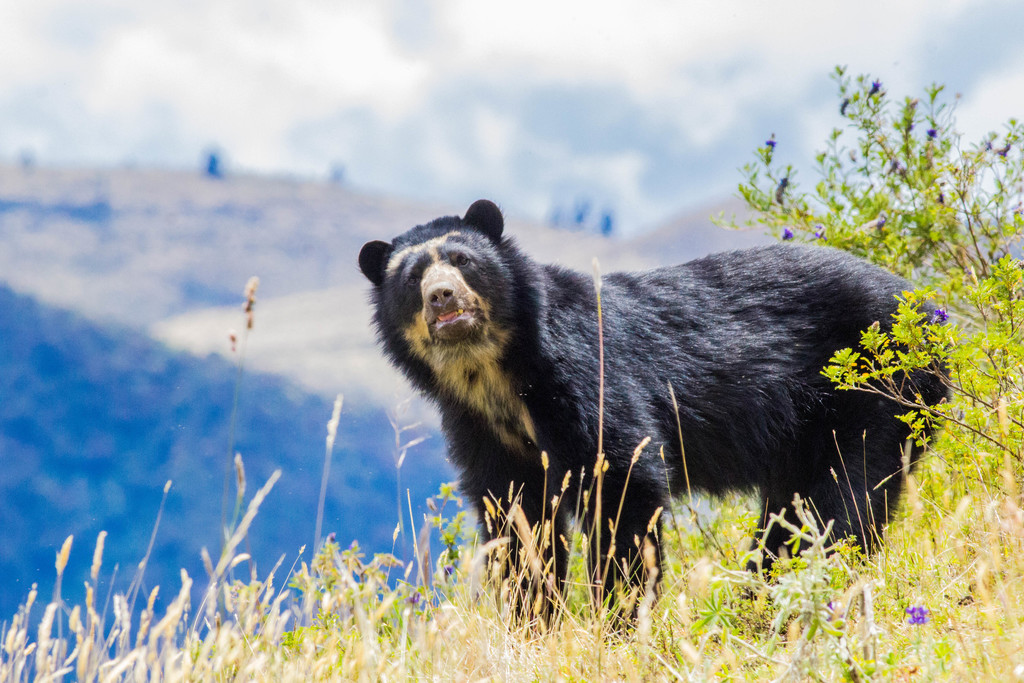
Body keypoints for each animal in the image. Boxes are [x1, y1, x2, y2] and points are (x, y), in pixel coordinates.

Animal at [358, 199, 947, 611]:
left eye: (463, 261)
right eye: (412, 277)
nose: (442, 297)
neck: (493, 371)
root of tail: (932, 314)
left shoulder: (585, 375)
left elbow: (623, 482)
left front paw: (619, 617)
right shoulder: (479, 426)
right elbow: (517, 517)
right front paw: (530, 620)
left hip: (873, 392)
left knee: (841, 502)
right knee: (794, 512)